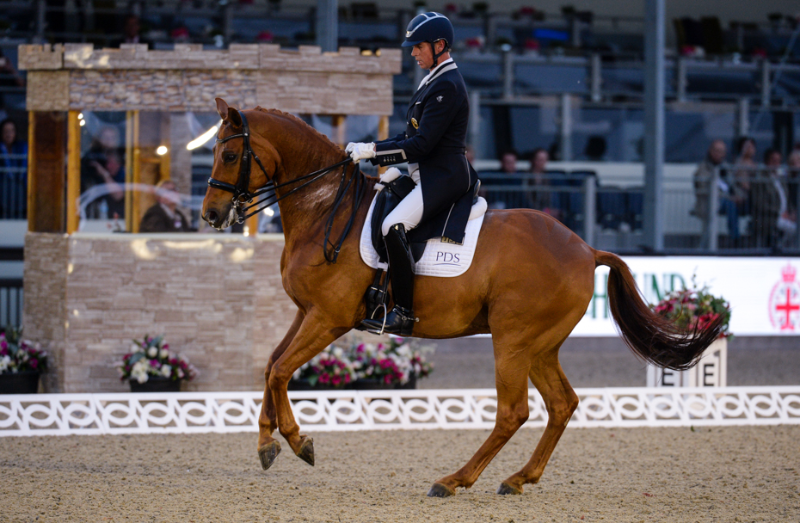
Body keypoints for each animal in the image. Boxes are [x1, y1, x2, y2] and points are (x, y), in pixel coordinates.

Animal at [203, 99, 720, 500]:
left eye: (228, 153)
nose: (210, 214)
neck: (325, 206)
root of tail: (585, 248)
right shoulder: (305, 312)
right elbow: (271, 364)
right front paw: (267, 444)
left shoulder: (329, 318)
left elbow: (282, 370)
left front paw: (297, 442)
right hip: (539, 346)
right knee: (561, 404)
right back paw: (518, 478)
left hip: (513, 340)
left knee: (514, 412)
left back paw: (454, 480)